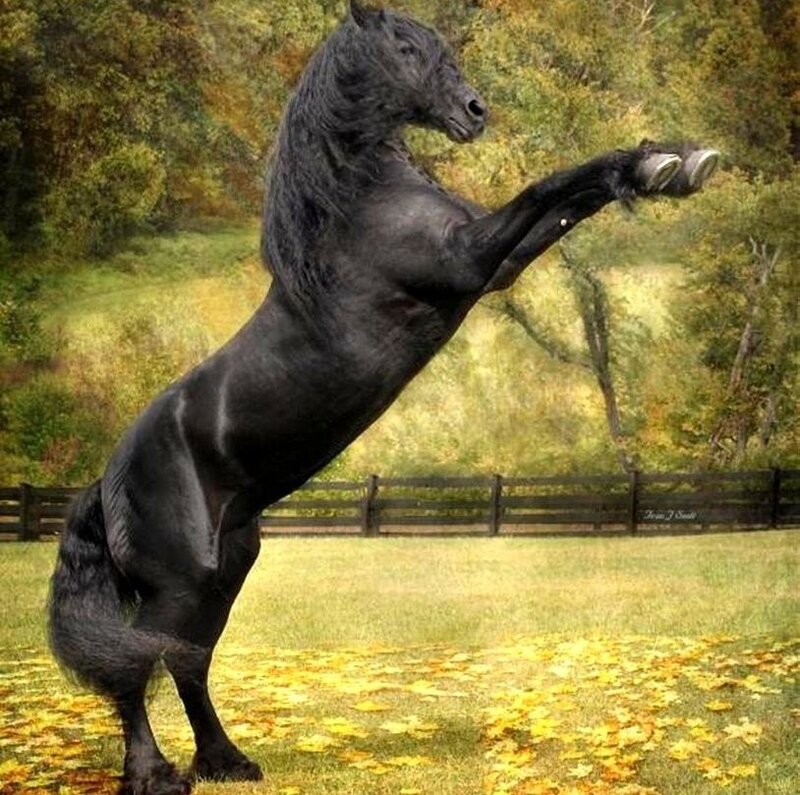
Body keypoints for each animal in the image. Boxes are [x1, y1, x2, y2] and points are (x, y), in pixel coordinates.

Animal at [48, 2, 718, 793]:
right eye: (404, 47)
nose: (475, 111)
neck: (359, 200)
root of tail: (105, 480)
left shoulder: (496, 263)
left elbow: (566, 201)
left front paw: (665, 164)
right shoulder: (466, 259)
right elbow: (546, 187)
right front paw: (665, 164)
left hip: (226, 569)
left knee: (187, 662)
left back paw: (227, 762)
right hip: (176, 583)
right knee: (134, 668)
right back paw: (156, 774)